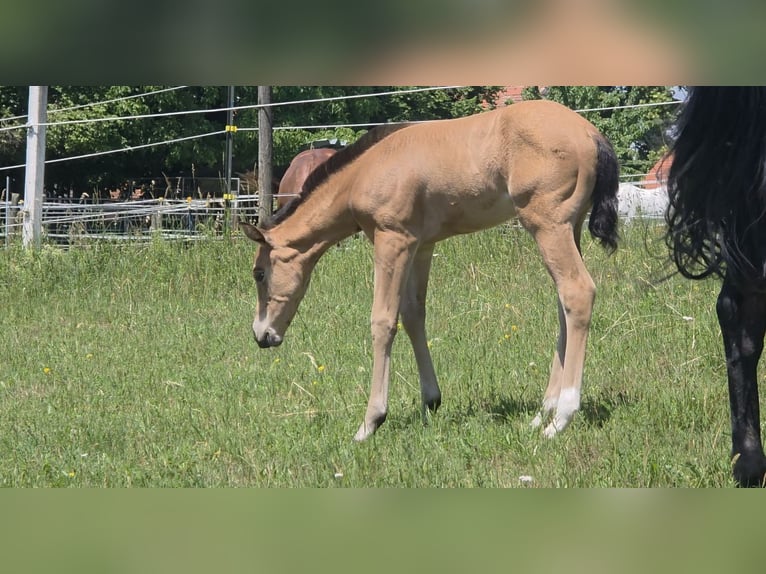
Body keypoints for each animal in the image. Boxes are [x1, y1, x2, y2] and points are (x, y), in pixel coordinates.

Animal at [240, 99, 619, 442]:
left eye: (259, 273)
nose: (262, 335)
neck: (365, 172)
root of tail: (591, 133)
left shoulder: (392, 240)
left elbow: (383, 321)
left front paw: (370, 422)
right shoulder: (420, 246)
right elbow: (413, 316)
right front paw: (431, 401)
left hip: (547, 225)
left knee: (577, 291)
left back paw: (561, 418)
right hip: (568, 227)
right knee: (563, 304)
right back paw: (543, 413)